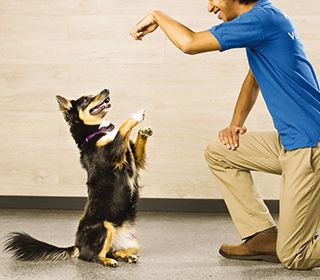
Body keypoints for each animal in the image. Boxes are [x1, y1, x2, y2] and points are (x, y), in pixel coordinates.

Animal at [3, 89, 154, 266]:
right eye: (86, 99)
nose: (106, 90)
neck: (95, 133)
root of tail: (77, 245)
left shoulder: (134, 159)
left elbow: (133, 143)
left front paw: (144, 131)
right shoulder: (112, 153)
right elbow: (122, 129)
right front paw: (136, 115)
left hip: (132, 242)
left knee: (113, 252)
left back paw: (126, 256)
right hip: (104, 226)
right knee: (95, 256)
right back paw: (108, 261)